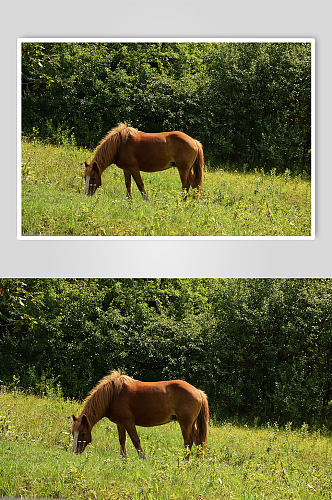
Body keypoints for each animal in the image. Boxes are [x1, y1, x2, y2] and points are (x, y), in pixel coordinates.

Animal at [71, 370, 209, 458]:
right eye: (73, 433)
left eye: (82, 433)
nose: (75, 453)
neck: (113, 395)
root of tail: (198, 391)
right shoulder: (120, 424)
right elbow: (122, 440)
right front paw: (124, 459)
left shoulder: (128, 422)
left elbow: (135, 440)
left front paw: (143, 458)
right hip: (191, 424)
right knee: (198, 440)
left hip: (185, 423)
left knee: (188, 442)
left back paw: (185, 462)